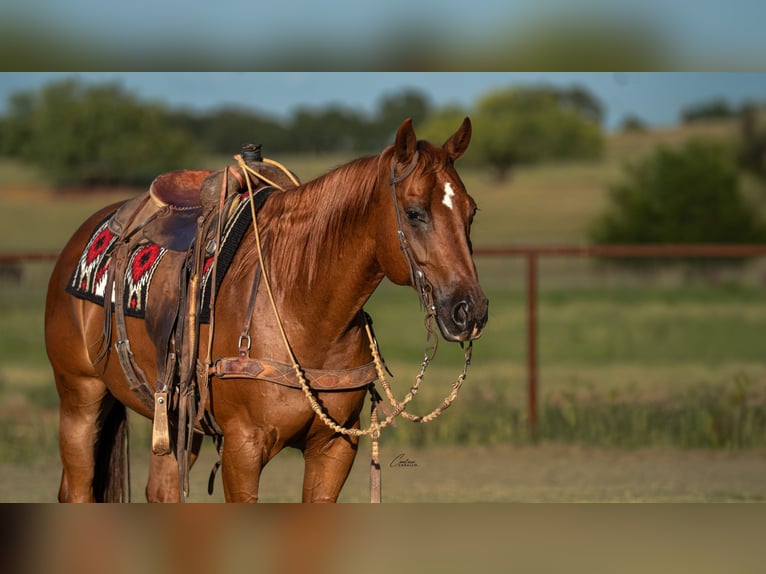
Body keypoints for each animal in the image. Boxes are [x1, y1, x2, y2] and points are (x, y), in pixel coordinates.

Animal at [45, 117, 488, 502]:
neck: (303, 307)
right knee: (77, 489)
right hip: (80, 398)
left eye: (471, 211)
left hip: (172, 425)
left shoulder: (335, 446)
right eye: (414, 213)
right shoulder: (243, 448)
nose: (470, 311)